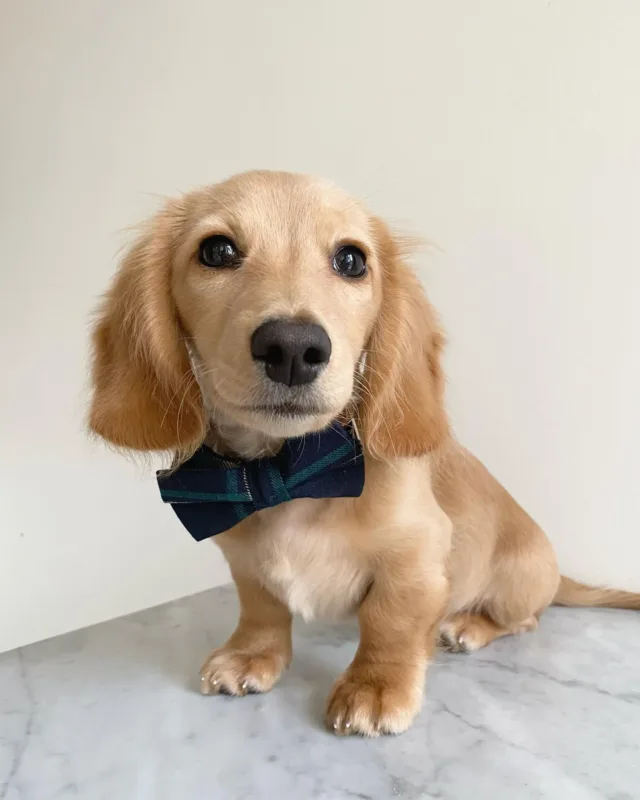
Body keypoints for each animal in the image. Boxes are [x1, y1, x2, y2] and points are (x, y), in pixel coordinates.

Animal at [87, 170, 636, 736]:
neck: (288, 475)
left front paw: (376, 685)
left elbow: (389, 619)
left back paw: (468, 626)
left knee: (524, 619)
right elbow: (261, 605)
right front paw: (252, 655)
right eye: (216, 250)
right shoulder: (244, 559)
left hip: (516, 586)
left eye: (351, 260)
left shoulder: (418, 555)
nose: (292, 348)